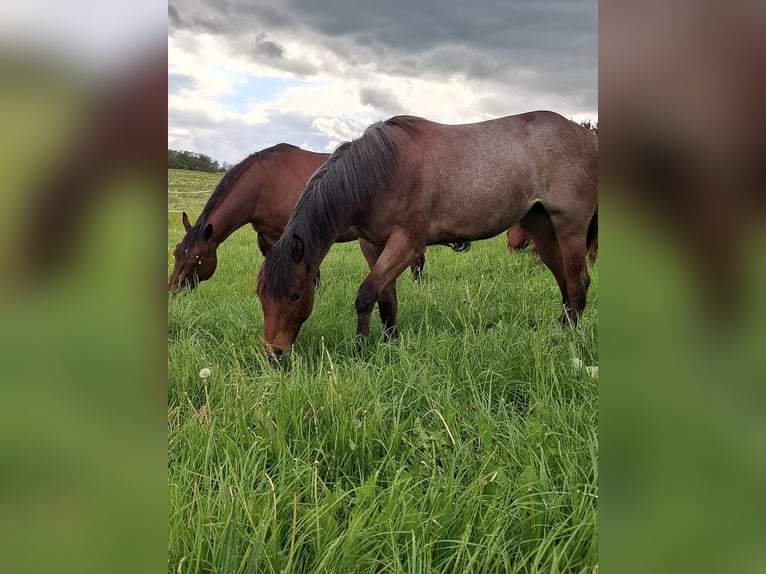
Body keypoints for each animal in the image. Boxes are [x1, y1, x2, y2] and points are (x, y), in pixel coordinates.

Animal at [258, 110, 600, 358]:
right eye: (260, 294)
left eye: (295, 295)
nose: (274, 354)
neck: (382, 169)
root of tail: (586, 136)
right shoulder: (373, 245)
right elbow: (386, 300)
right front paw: (392, 344)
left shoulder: (407, 244)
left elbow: (366, 295)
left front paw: (361, 351)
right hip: (542, 228)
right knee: (565, 284)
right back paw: (559, 331)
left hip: (569, 227)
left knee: (578, 283)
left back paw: (568, 340)